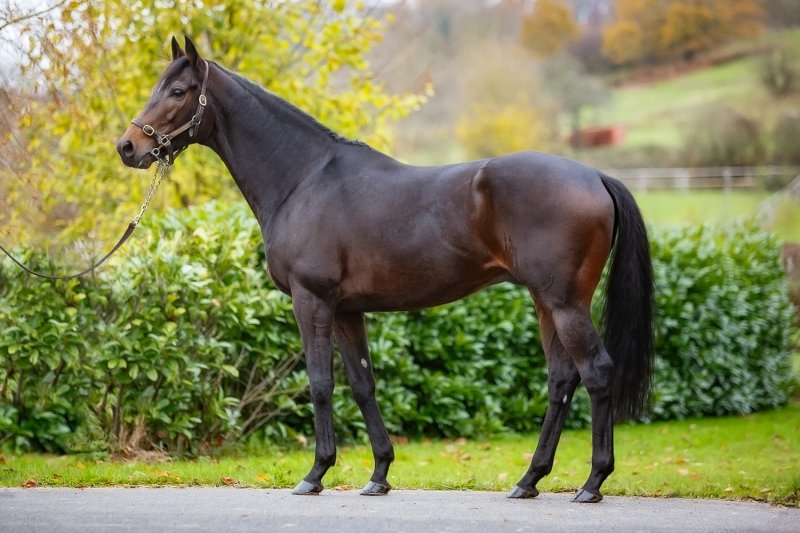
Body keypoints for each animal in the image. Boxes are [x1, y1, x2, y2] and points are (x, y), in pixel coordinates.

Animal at [117, 36, 654, 503]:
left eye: (179, 91)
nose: (128, 147)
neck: (303, 179)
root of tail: (594, 175)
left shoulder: (312, 300)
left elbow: (320, 382)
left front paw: (315, 474)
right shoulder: (346, 311)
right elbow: (362, 384)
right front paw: (378, 474)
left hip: (565, 304)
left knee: (596, 373)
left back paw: (592, 483)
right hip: (545, 303)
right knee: (561, 380)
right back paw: (529, 480)